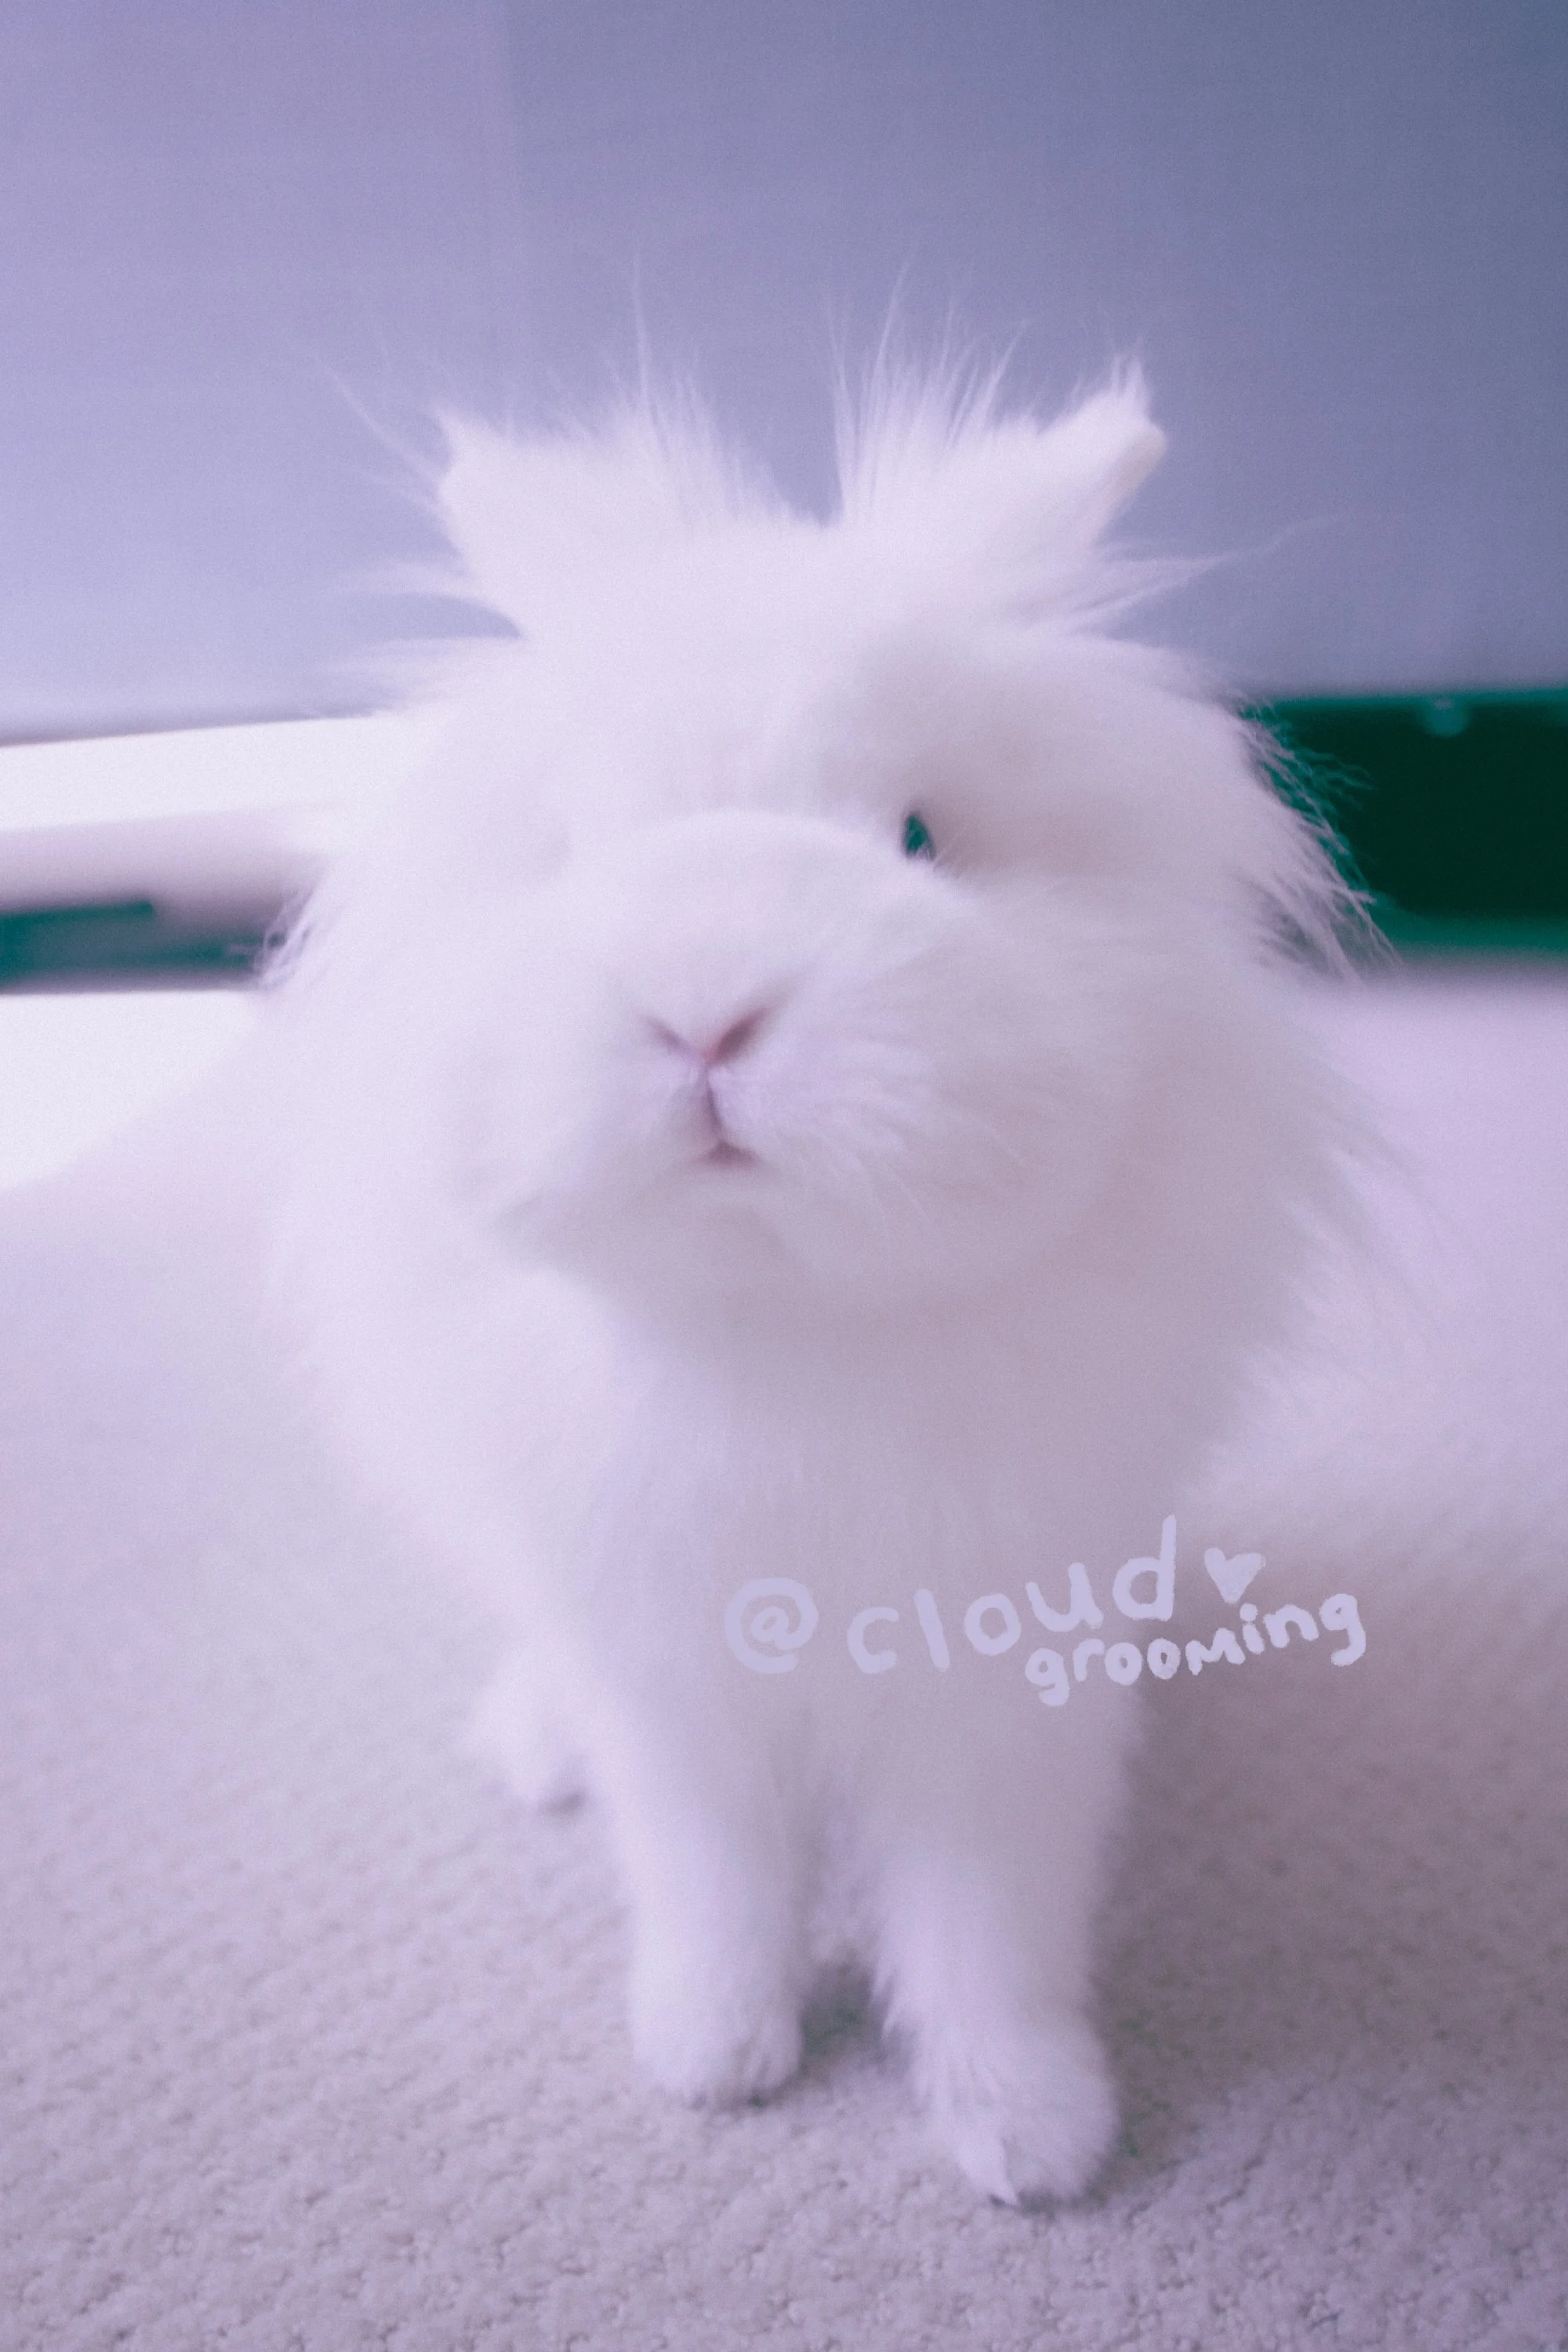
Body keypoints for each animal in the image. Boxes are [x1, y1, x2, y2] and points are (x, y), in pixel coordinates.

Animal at [269, 370, 1345, 2207]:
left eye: (919, 839)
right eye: (578, 850)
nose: (706, 1010)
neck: (778, 1323)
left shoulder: (999, 1700)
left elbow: (989, 1926)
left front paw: (1032, 2137)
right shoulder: (673, 1686)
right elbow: (711, 1882)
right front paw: (713, 2059)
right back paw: (535, 1749)